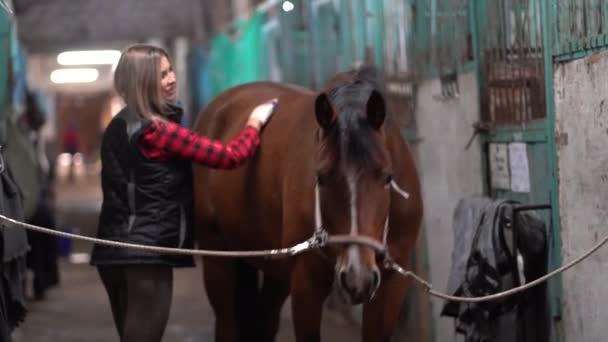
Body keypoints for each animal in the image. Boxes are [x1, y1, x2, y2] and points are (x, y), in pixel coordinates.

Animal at [194, 67, 422, 342]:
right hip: (217, 254)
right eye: (320, 178)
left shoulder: (392, 283)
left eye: (388, 177)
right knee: (227, 320)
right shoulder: (305, 283)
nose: (357, 278)